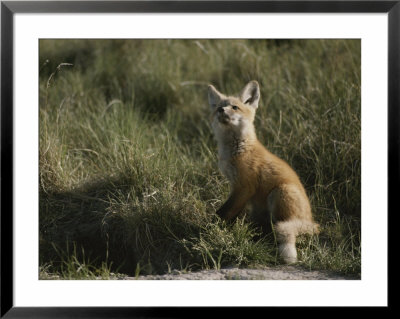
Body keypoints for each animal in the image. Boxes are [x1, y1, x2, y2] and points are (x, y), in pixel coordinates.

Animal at [209, 81, 318, 264]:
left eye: (234, 107)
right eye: (218, 107)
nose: (222, 110)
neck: (238, 149)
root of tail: (310, 221)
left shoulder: (244, 186)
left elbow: (224, 212)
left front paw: (212, 228)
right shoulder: (236, 187)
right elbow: (230, 212)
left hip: (279, 193)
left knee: (285, 229)